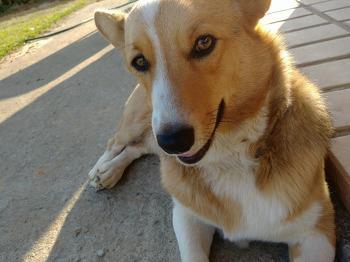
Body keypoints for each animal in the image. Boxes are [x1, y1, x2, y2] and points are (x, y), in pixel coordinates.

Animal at [89, 1, 334, 260]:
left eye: (204, 42)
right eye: (139, 62)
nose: (172, 142)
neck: (232, 157)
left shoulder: (317, 232)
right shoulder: (186, 215)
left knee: (139, 148)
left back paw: (109, 171)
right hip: (139, 122)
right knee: (116, 141)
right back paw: (100, 170)